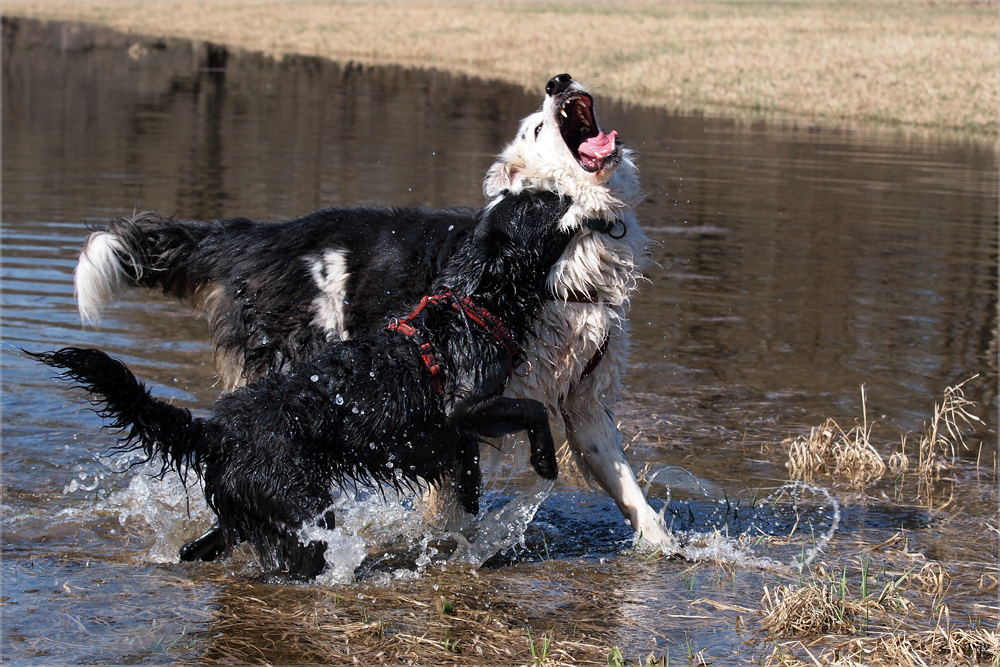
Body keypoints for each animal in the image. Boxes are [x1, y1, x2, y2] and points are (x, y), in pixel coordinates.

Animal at [35, 188, 576, 580]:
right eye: (537, 203)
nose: (568, 192)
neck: (473, 300)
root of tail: (217, 432)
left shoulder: (455, 437)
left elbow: (466, 484)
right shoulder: (466, 406)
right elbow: (533, 413)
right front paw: (544, 463)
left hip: (245, 512)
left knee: (200, 547)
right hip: (302, 510)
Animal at [76, 75, 672, 552]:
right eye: (535, 128)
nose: (558, 81)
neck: (572, 260)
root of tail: (258, 236)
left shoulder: (585, 402)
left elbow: (628, 489)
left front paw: (667, 549)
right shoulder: (470, 411)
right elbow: (456, 501)